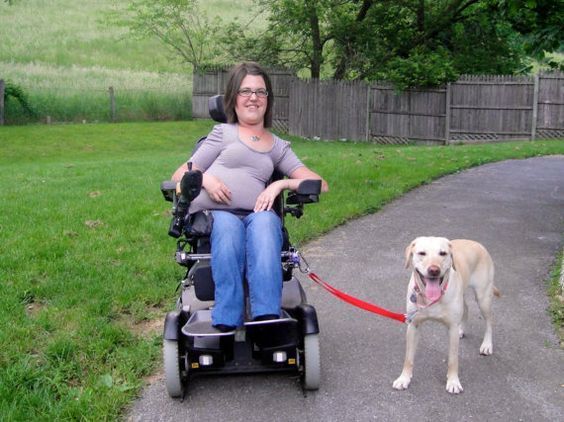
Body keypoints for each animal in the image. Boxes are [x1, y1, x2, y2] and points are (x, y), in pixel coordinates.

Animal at [394, 236, 500, 394]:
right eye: (422, 253)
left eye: (442, 253)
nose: (434, 270)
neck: (431, 299)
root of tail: (477, 243)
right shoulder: (413, 325)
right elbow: (408, 358)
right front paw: (404, 378)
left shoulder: (452, 329)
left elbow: (453, 360)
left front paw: (453, 382)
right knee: (466, 308)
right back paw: (462, 330)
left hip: (483, 298)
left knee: (489, 320)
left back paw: (487, 345)